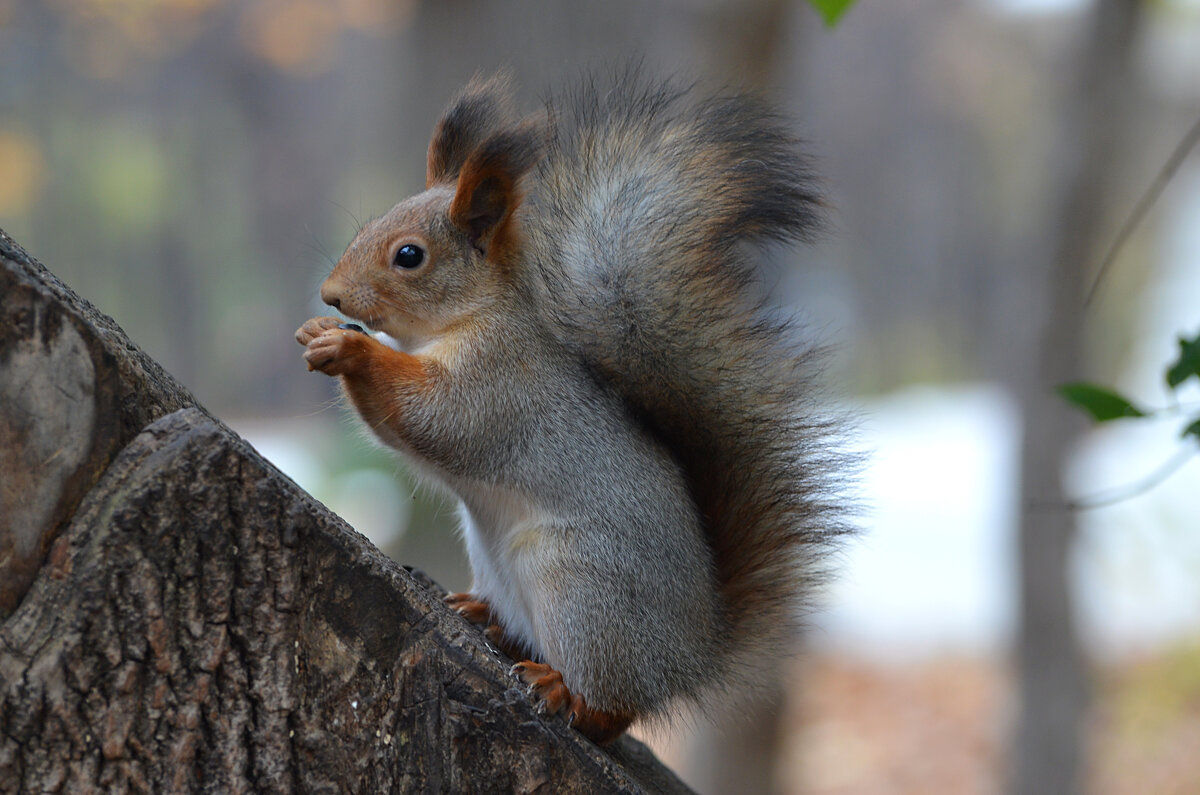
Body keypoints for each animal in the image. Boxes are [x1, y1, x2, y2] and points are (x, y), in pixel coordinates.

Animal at [295, 68, 849, 749]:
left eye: (408, 255)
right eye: (368, 225)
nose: (331, 294)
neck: (463, 320)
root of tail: (689, 660)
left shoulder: (500, 380)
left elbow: (436, 419)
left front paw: (350, 347)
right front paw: (321, 332)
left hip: (580, 593)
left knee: (612, 713)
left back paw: (564, 691)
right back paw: (485, 616)